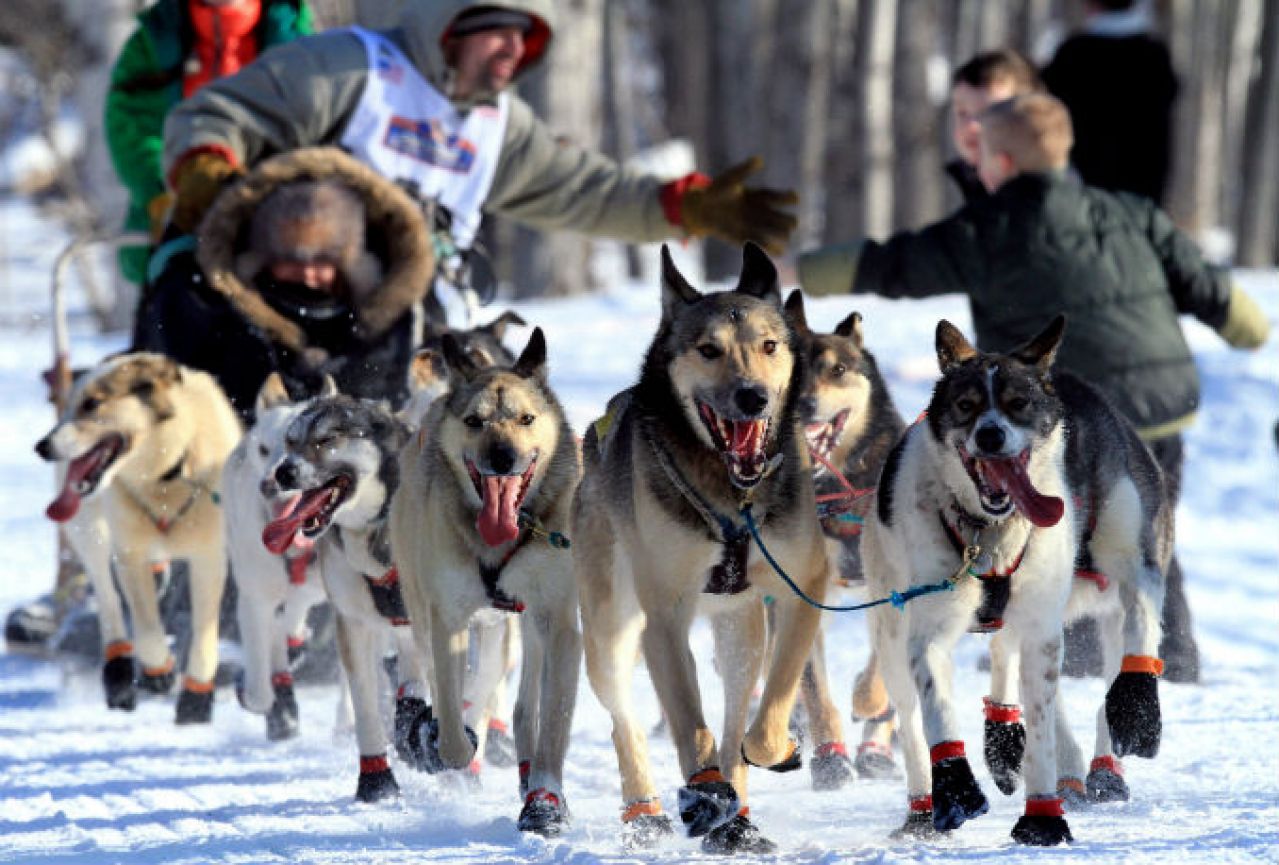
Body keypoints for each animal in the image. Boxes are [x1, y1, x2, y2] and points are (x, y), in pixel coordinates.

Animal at [33, 350, 240, 721]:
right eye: (69, 406)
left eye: (92, 403)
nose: (42, 446)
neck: (166, 477)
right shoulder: (130, 554)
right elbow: (145, 629)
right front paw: (158, 671)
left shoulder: (209, 558)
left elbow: (204, 633)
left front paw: (196, 699)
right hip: (90, 531)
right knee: (108, 596)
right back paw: (118, 669)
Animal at [570, 241, 828, 849]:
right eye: (709, 350)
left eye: (769, 345)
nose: (753, 396)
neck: (732, 493)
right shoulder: (664, 615)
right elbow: (688, 719)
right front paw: (706, 792)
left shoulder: (804, 584)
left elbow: (773, 701)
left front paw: (777, 750)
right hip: (610, 630)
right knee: (625, 719)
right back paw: (652, 809)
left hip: (738, 629)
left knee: (735, 711)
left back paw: (737, 817)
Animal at [859, 317, 1171, 844]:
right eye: (966, 405)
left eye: (1017, 403)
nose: (989, 435)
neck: (989, 531)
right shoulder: (930, 630)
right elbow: (937, 710)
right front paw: (956, 785)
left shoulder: (1121, 583)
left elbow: (1075, 703)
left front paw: (1042, 818)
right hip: (891, 636)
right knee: (913, 716)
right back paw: (926, 807)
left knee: (1094, 663)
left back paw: (1098, 765)